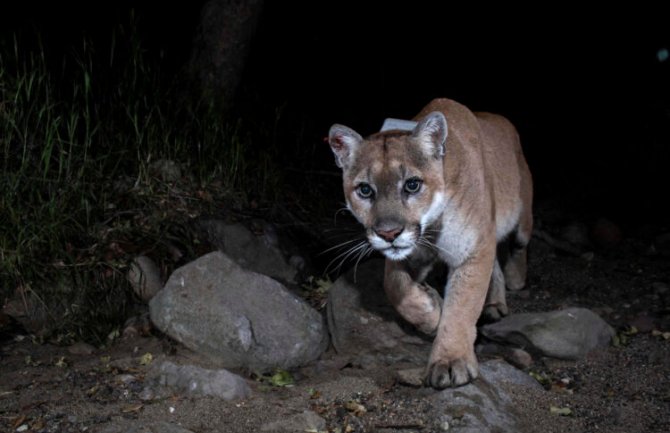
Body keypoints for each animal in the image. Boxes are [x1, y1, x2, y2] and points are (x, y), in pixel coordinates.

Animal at [328, 98, 532, 388]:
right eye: (365, 190)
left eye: (412, 185)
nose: (388, 233)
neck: (432, 226)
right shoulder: (411, 254)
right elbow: (394, 286)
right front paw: (431, 312)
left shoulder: (473, 249)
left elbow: (462, 306)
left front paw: (450, 360)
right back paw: (493, 304)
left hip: (521, 215)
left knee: (518, 245)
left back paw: (515, 279)